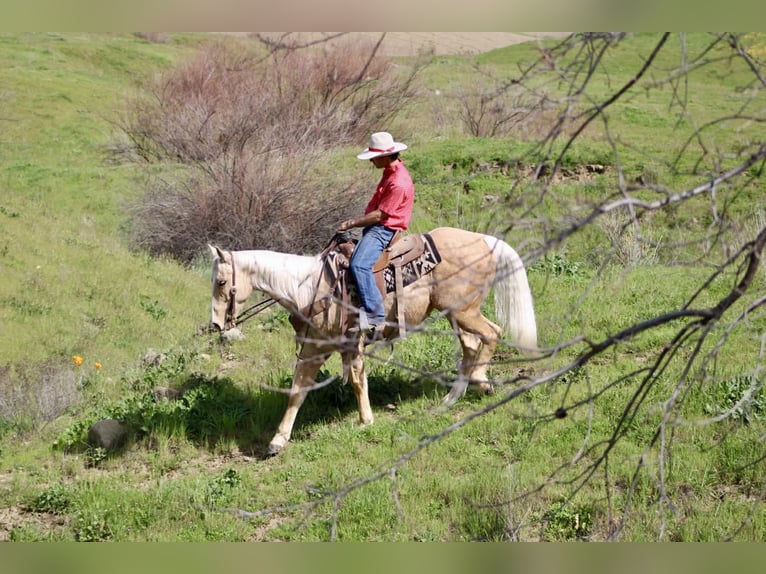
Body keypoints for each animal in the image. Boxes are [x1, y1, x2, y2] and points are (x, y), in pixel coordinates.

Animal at [208, 226, 538, 456]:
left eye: (222, 282)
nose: (216, 324)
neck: (309, 287)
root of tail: (484, 239)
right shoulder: (314, 348)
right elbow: (297, 391)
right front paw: (277, 442)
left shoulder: (351, 342)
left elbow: (356, 380)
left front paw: (366, 420)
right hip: (455, 313)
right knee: (471, 346)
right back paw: (450, 400)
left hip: (463, 310)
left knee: (491, 333)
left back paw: (481, 381)